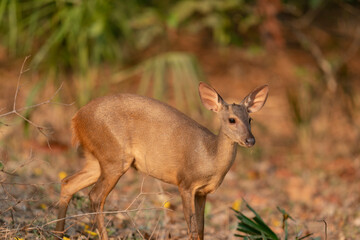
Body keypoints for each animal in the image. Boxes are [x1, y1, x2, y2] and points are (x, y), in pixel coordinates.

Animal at [54, 81, 268, 239]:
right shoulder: (185, 183)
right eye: (232, 119)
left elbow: (201, 229)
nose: (250, 140)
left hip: (98, 159)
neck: (209, 156)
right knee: (95, 195)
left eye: (250, 120)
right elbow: (192, 227)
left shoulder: (202, 192)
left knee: (68, 182)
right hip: (114, 155)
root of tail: (76, 118)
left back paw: (58, 233)